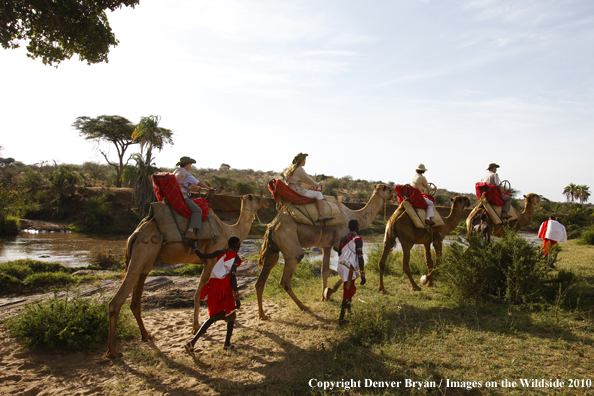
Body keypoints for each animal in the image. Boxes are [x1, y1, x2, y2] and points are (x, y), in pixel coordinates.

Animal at [105, 193, 268, 358]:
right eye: (256, 198)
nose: (266, 201)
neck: (228, 231)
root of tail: (136, 233)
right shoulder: (211, 260)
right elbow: (198, 293)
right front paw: (195, 326)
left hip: (148, 260)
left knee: (135, 299)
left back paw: (146, 335)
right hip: (143, 250)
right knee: (117, 299)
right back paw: (112, 351)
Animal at [254, 185, 394, 318]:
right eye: (388, 188)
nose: (393, 194)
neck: (352, 215)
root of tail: (272, 226)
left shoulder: (326, 246)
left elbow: (325, 270)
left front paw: (324, 296)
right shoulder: (339, 242)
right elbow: (349, 270)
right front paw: (329, 291)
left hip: (273, 248)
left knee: (262, 279)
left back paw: (262, 314)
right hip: (288, 242)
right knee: (287, 275)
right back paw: (303, 306)